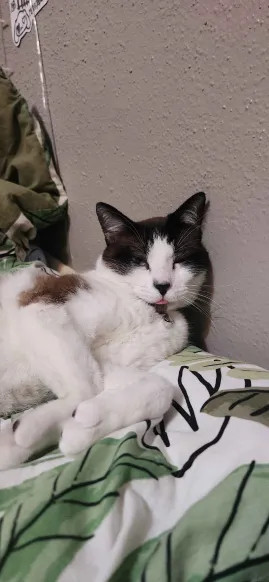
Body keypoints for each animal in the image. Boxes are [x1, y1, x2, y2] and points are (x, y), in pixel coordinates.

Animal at [0, 192, 210, 470]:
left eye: (179, 260)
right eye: (140, 261)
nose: (162, 285)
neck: (147, 311)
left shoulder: (106, 363)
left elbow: (161, 388)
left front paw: (83, 426)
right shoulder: (39, 307)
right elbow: (87, 389)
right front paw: (26, 431)